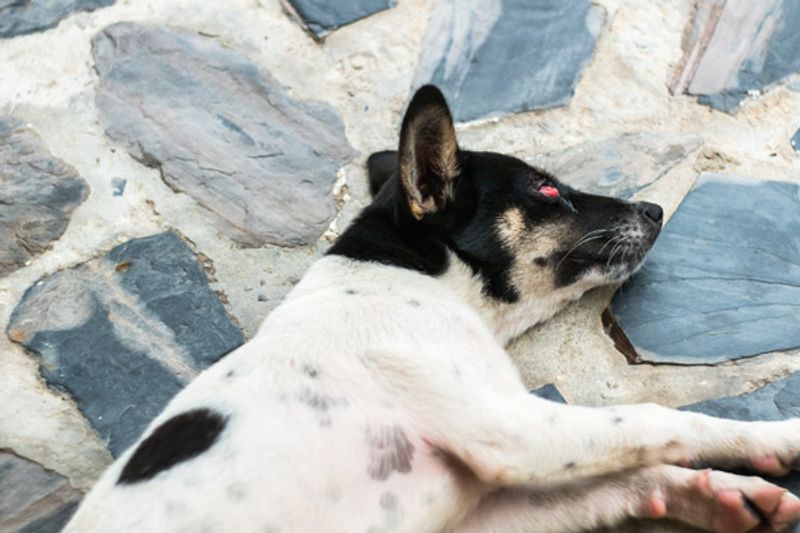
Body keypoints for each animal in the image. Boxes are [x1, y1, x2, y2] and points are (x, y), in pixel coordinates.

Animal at [67, 87, 800, 532]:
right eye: (545, 189)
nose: (653, 209)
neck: (408, 277)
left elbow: (623, 478)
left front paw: (717, 496)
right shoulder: (514, 431)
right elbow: (659, 417)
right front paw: (778, 436)